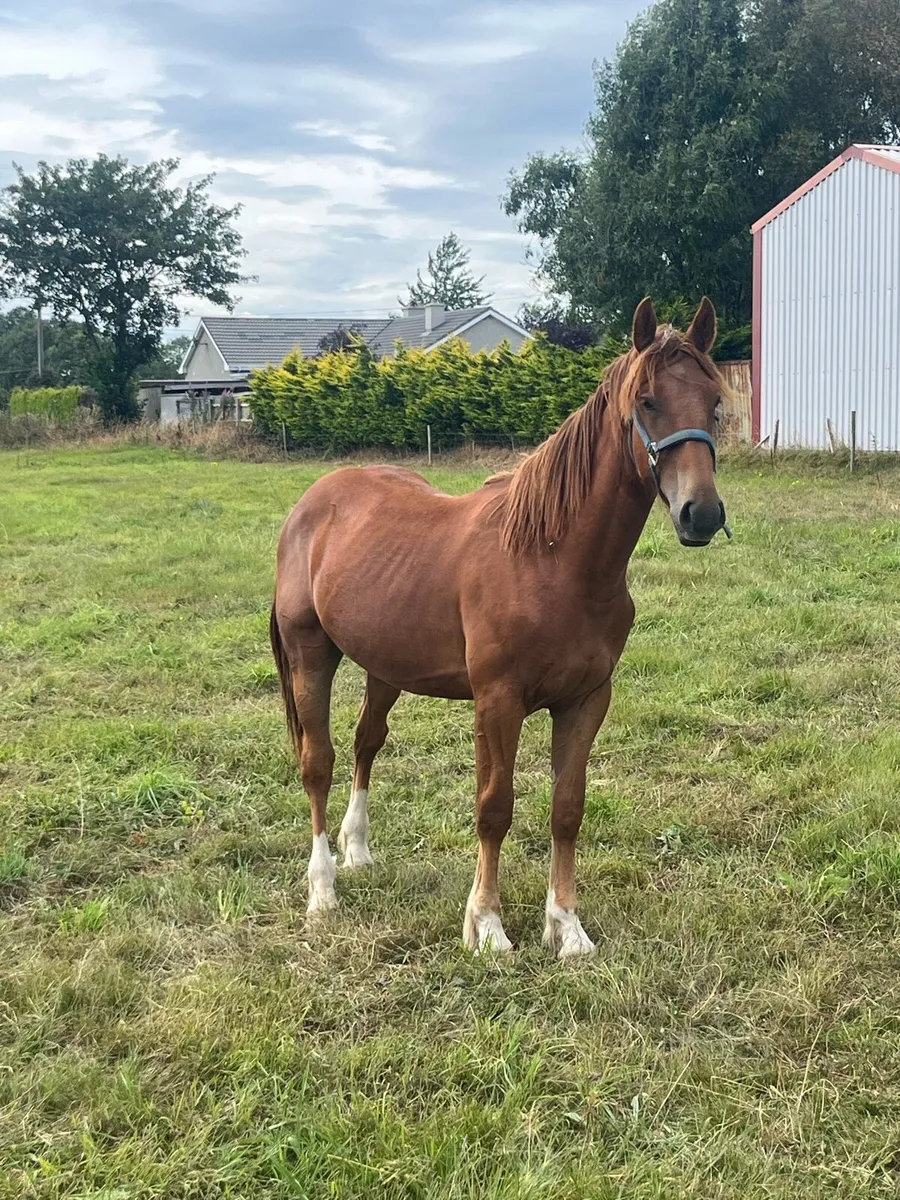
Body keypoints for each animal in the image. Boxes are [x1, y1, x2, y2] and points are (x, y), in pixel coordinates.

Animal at [269, 297, 729, 958]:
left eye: (714, 402)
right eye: (647, 401)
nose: (702, 513)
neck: (553, 560)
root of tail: (313, 502)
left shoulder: (586, 700)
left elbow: (567, 809)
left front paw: (567, 928)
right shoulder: (498, 701)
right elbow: (494, 807)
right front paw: (486, 925)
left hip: (386, 666)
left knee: (365, 744)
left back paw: (358, 852)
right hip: (312, 656)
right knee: (318, 762)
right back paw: (323, 891)